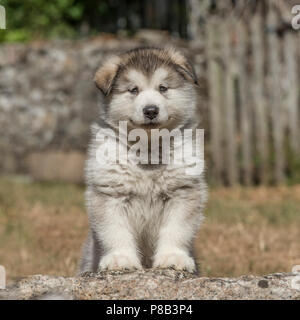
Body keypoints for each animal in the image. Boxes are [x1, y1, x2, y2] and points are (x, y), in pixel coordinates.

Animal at [78, 47, 207, 276]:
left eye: (163, 88)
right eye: (133, 90)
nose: (151, 110)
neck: (148, 148)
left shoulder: (182, 192)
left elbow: (177, 229)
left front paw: (173, 257)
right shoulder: (110, 194)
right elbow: (115, 231)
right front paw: (120, 259)